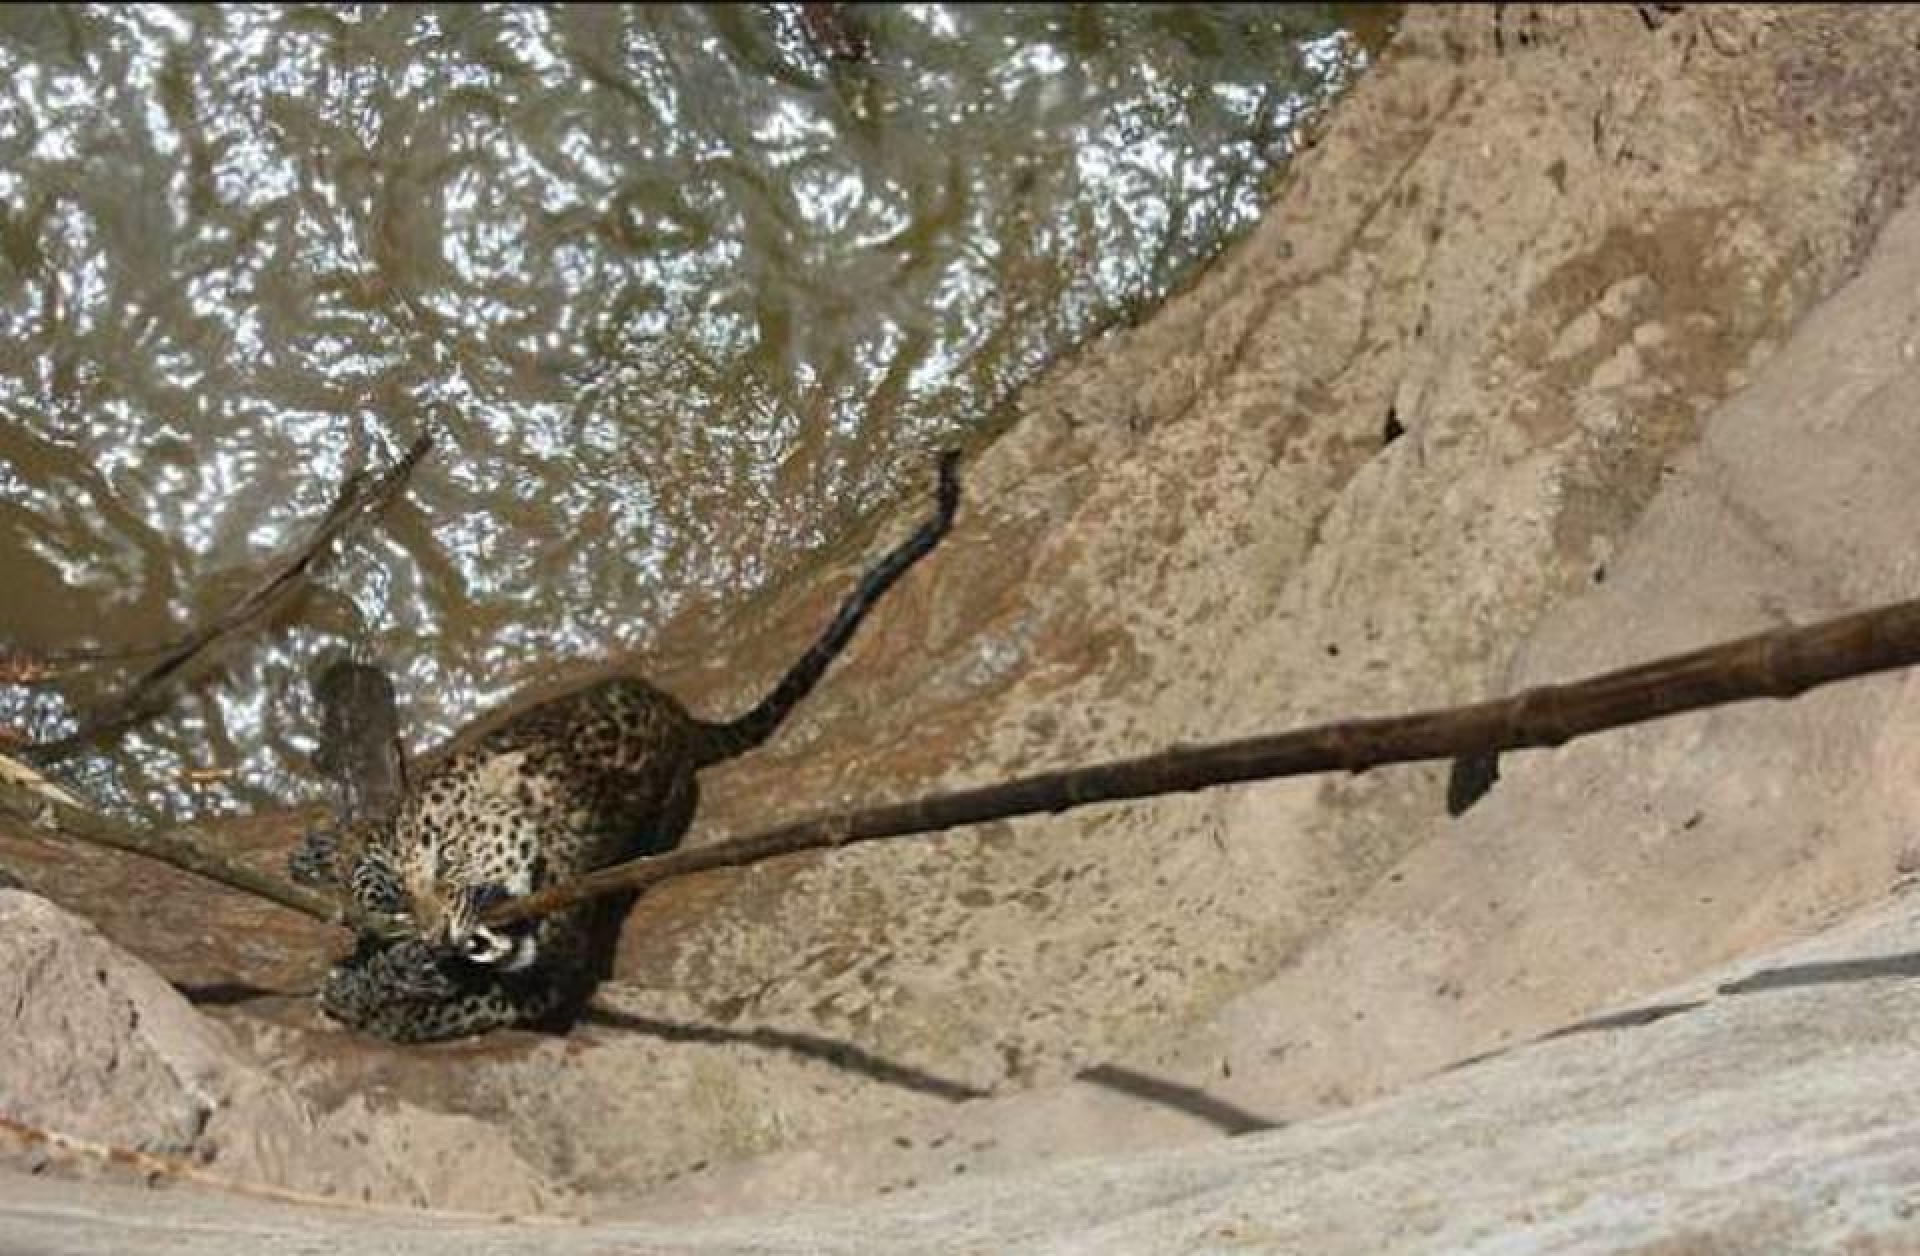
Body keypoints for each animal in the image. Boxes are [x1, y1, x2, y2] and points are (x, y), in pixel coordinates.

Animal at [292, 452, 960, 1043]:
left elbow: (460, 1005)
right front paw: (370, 959)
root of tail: (677, 712)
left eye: (451, 858)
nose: (437, 937)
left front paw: (379, 994)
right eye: (400, 894)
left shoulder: (546, 979)